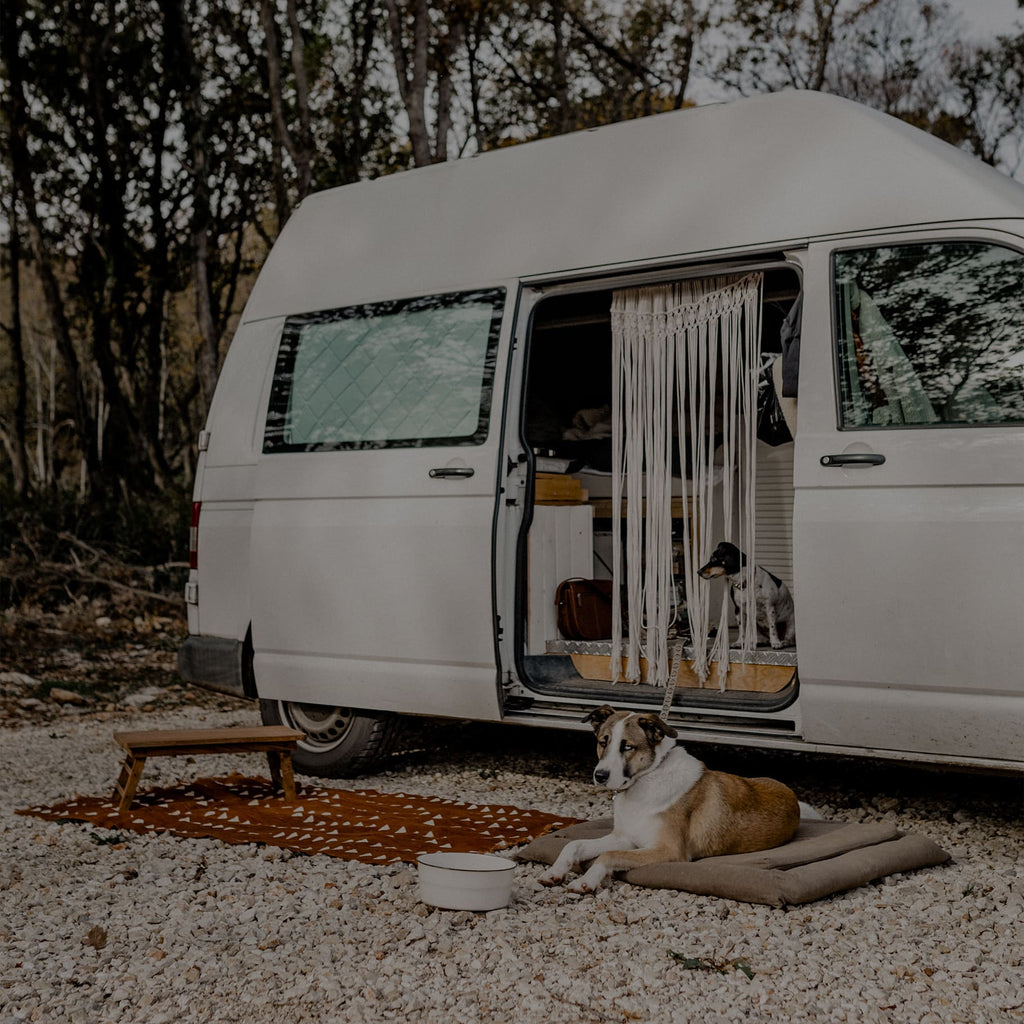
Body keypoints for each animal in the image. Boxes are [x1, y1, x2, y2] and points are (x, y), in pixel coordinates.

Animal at [536, 708, 815, 892]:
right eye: (603, 742)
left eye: (627, 747)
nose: (600, 776)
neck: (646, 779)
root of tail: (792, 796)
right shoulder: (625, 838)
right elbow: (574, 844)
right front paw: (554, 871)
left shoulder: (668, 850)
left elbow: (609, 855)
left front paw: (586, 880)